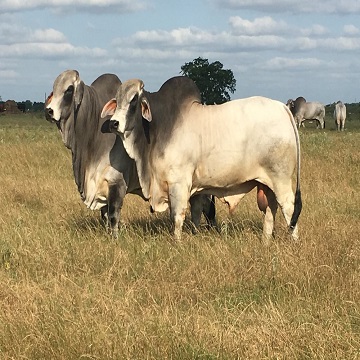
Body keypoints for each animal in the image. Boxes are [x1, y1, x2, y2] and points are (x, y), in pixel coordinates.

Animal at [45, 70, 217, 239]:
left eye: (69, 89)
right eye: (53, 89)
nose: (48, 111)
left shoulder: (117, 182)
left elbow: (113, 216)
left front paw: (114, 239)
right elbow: (105, 216)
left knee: (207, 208)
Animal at [101, 77, 300, 243]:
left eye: (134, 100)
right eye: (116, 100)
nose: (113, 123)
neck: (158, 127)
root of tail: (283, 108)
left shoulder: (179, 183)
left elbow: (177, 216)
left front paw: (177, 242)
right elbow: (195, 214)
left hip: (280, 179)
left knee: (289, 208)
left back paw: (294, 241)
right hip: (267, 183)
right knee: (270, 210)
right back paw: (265, 241)